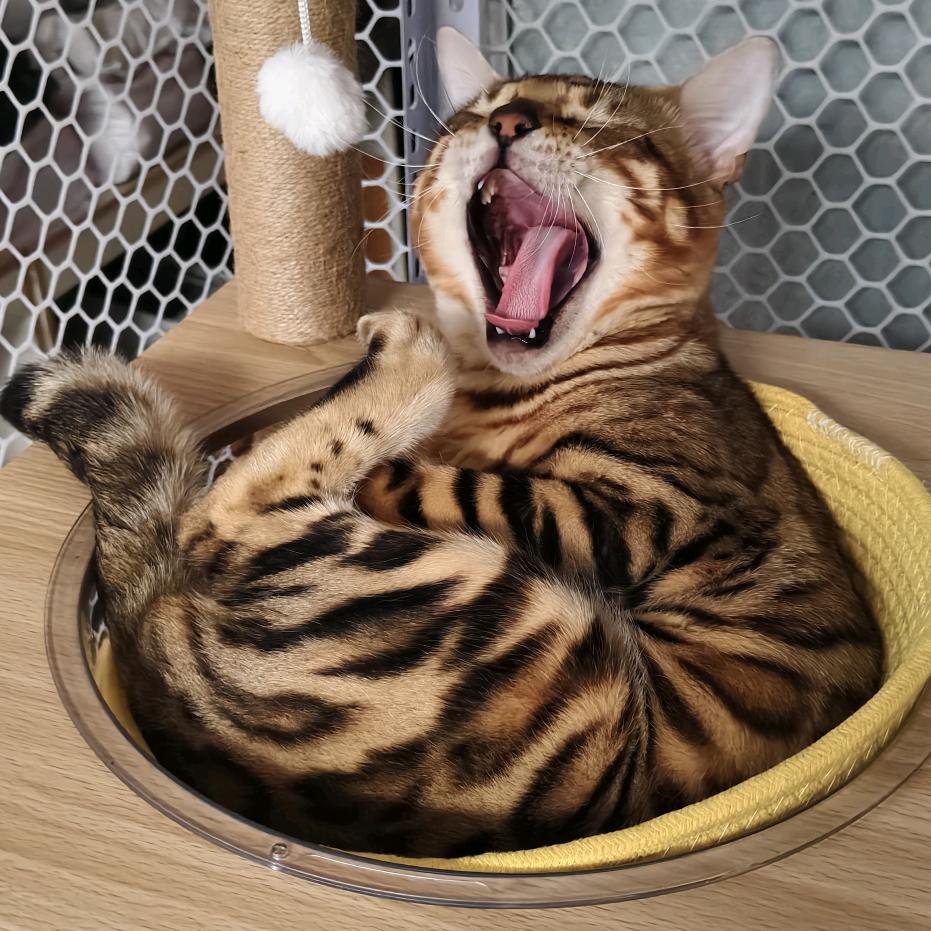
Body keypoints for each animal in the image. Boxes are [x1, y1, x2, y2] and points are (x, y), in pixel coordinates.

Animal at [0, 32, 882, 859]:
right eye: (476, 108)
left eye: (599, 120)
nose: (506, 121)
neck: (498, 382)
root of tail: (152, 639)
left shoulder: (644, 507)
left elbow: (438, 481)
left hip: (488, 616)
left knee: (229, 512)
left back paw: (398, 348)